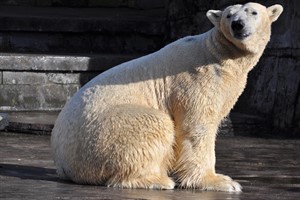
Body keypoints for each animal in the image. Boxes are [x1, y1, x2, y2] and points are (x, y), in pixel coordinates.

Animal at [50, 1, 282, 192]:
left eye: (253, 12)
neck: (218, 54)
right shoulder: (194, 80)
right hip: (102, 134)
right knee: (153, 124)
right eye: (229, 15)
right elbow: (197, 127)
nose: (238, 25)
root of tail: (62, 163)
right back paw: (157, 180)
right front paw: (220, 181)